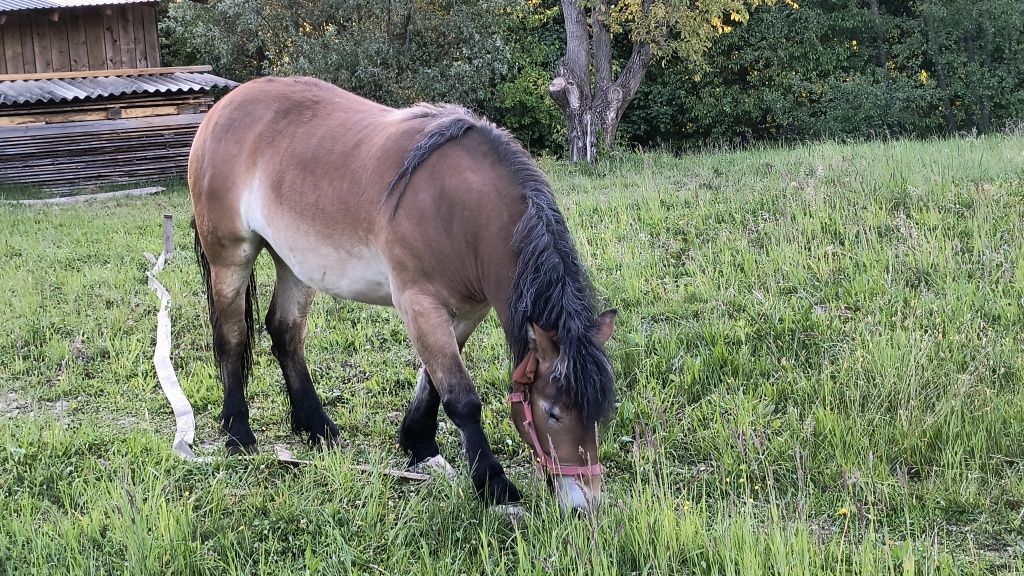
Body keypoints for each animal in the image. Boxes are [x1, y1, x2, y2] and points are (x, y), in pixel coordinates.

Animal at [187, 75, 614, 506]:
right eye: (552, 412)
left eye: (600, 413)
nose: (587, 504)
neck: (462, 211)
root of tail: (223, 108)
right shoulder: (419, 306)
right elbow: (460, 398)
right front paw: (493, 483)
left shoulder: (466, 311)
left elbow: (433, 382)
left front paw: (419, 445)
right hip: (230, 258)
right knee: (232, 337)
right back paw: (238, 434)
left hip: (293, 264)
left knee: (286, 333)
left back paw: (318, 427)